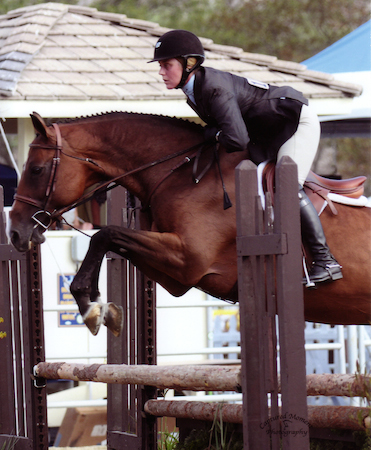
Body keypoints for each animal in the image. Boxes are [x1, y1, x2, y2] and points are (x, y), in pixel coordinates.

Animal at [8, 113, 371, 338]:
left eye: (36, 170)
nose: (15, 232)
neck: (184, 174)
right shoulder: (178, 276)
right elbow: (112, 240)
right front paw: (97, 306)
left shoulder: (187, 258)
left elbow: (104, 234)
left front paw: (91, 307)